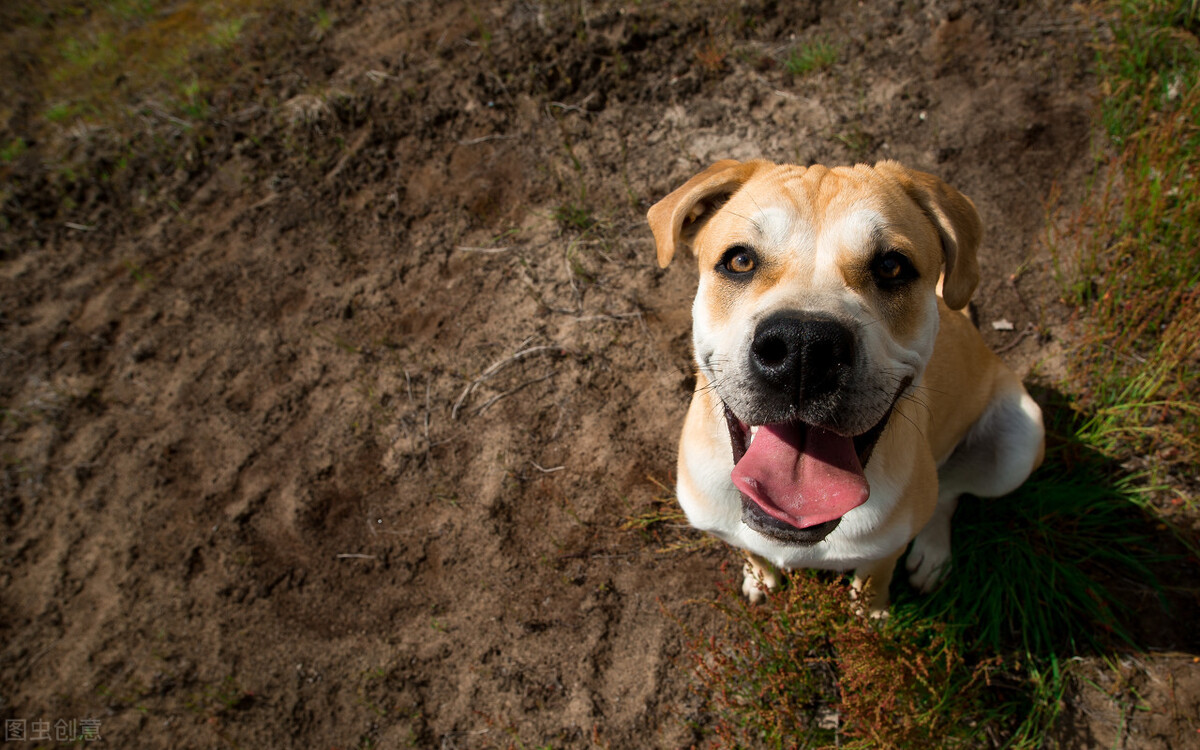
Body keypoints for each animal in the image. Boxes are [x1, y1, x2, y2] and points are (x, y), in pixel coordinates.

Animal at [648, 159, 1041, 614]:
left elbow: (873, 579)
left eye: (891, 267)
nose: (803, 347)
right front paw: (759, 577)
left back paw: (932, 552)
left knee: (950, 490)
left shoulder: (885, 550)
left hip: (1019, 444)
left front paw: (870, 614)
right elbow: (751, 549)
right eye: (740, 260)